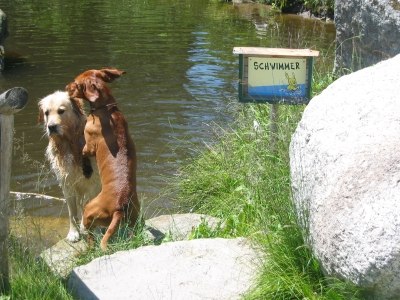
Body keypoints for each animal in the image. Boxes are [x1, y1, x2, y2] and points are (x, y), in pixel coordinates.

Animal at [38, 90, 100, 243]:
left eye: (61, 111)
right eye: (46, 112)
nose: (51, 127)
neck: (68, 143)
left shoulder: (92, 182)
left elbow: (89, 204)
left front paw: (90, 229)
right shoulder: (67, 182)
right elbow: (72, 211)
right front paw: (73, 233)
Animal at [66, 68, 140, 251]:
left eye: (75, 83)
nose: (66, 87)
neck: (107, 110)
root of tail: (120, 206)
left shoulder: (88, 147)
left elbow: (83, 152)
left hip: (88, 209)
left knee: (89, 232)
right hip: (135, 218)